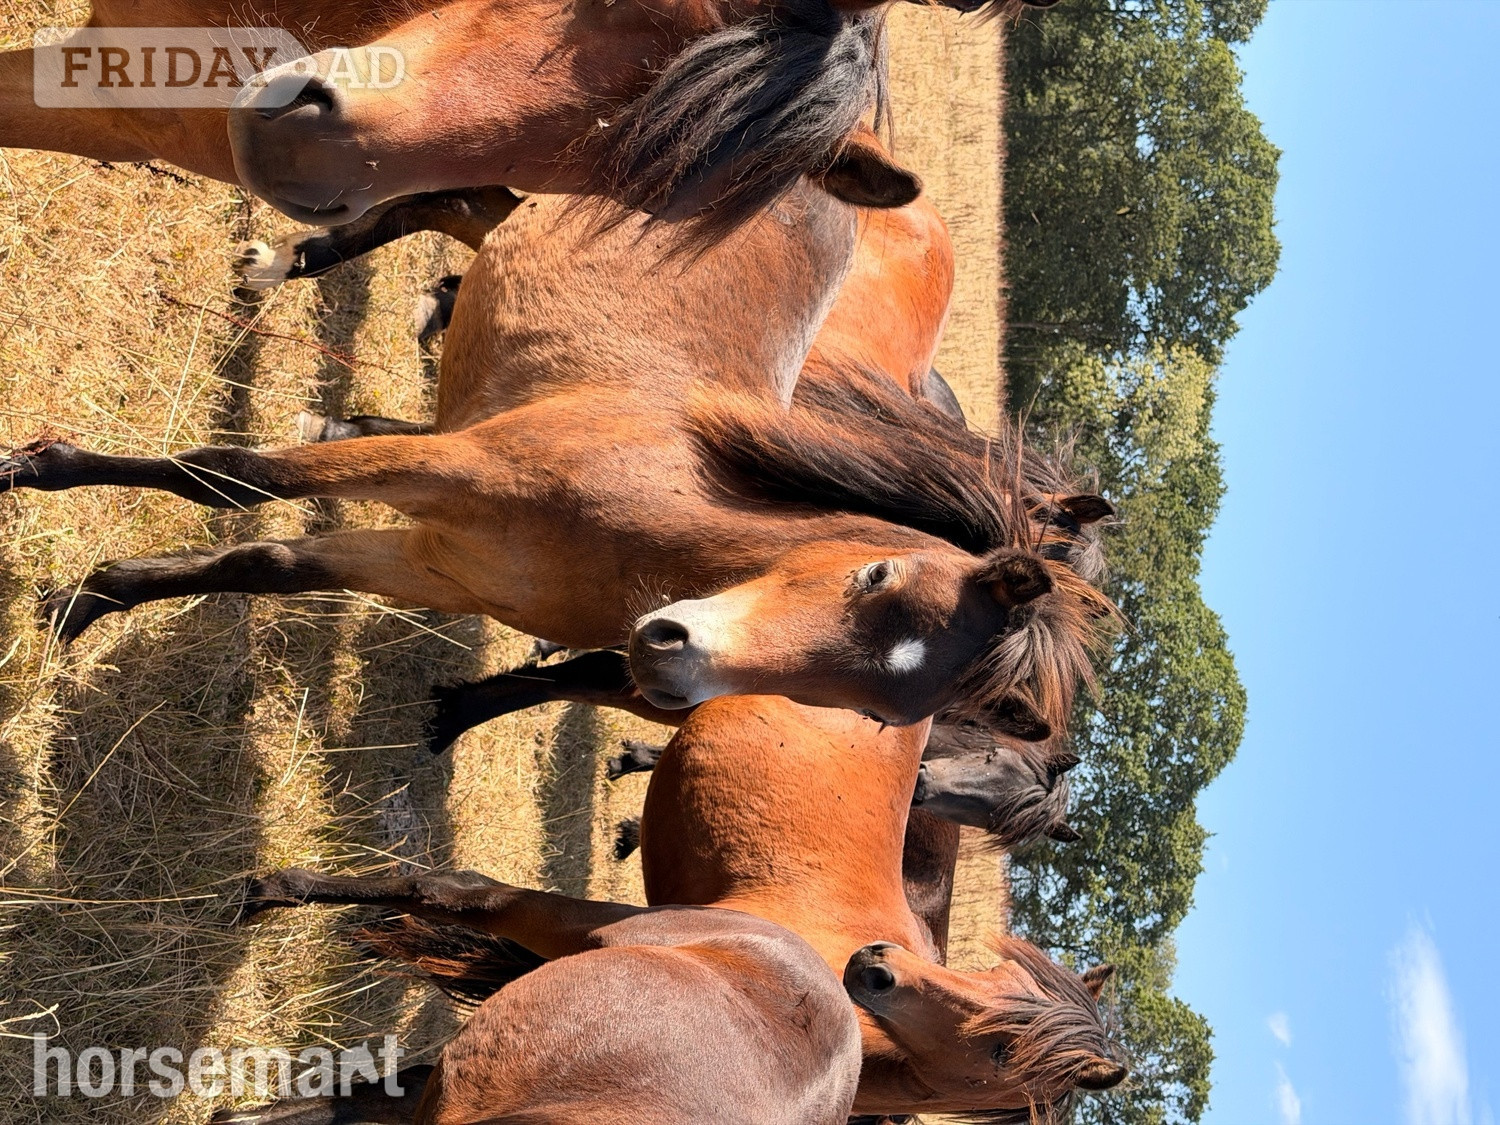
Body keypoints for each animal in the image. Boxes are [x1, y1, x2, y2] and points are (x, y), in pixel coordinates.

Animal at [1, 185, 1114, 738]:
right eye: (873, 577)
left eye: (874, 711)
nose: (669, 657)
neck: (632, 514)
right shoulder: (445, 468)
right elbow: (226, 476)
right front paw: (34, 473)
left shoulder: (430, 562)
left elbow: (259, 560)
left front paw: (87, 601)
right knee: (433, 193)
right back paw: (280, 262)